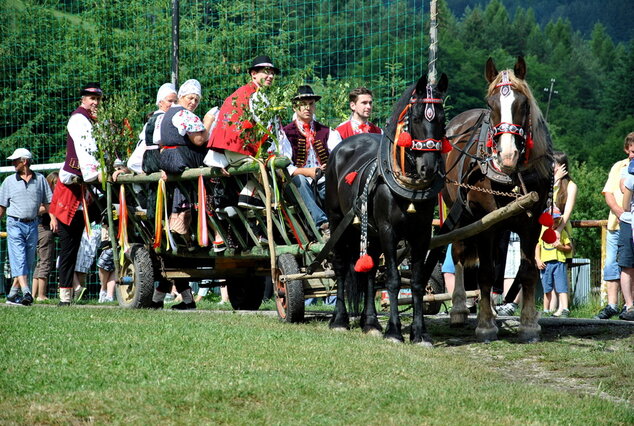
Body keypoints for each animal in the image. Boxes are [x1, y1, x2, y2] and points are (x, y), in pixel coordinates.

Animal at [326, 74, 444, 346]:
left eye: (442, 118)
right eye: (416, 118)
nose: (428, 168)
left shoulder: (422, 234)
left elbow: (417, 281)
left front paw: (419, 333)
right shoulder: (389, 231)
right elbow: (392, 280)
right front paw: (394, 331)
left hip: (372, 233)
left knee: (369, 272)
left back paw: (370, 322)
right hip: (338, 222)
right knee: (340, 267)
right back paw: (339, 320)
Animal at [442, 57, 552, 342]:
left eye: (522, 105)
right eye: (491, 105)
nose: (508, 154)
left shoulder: (531, 223)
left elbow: (526, 271)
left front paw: (528, 324)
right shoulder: (484, 223)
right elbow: (485, 273)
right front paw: (484, 325)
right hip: (459, 213)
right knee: (459, 253)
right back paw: (459, 309)